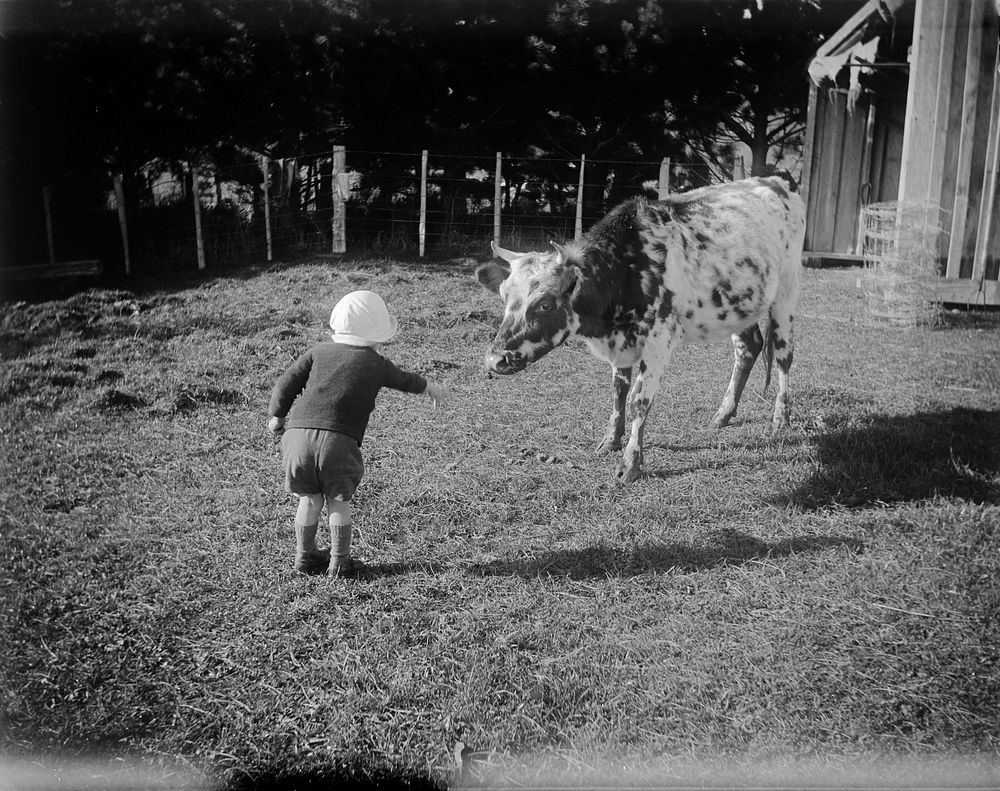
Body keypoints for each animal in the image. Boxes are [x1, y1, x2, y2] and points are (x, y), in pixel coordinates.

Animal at [474, 175, 804, 482]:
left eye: (544, 304)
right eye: (503, 296)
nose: (494, 359)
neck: (625, 270)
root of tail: (774, 181)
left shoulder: (658, 343)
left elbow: (639, 400)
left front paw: (630, 463)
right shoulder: (621, 345)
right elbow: (619, 392)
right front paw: (610, 440)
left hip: (786, 293)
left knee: (784, 355)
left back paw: (781, 418)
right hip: (740, 306)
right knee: (748, 349)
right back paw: (723, 415)